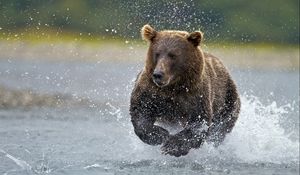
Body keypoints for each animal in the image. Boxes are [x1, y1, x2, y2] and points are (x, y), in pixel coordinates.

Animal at [129, 23, 241, 157]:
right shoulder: (150, 91)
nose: (158, 74)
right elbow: (140, 111)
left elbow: (198, 122)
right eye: (157, 53)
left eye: (173, 55)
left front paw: (172, 146)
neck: (173, 86)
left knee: (220, 128)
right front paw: (161, 135)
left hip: (227, 99)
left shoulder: (195, 95)